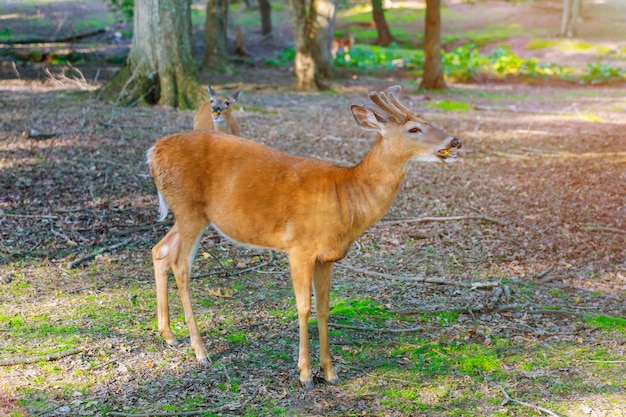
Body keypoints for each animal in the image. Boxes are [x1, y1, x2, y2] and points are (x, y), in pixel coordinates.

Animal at [145, 83, 458, 386]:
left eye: (425, 120)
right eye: (414, 129)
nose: (455, 141)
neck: (346, 197)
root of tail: (152, 152)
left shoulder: (327, 257)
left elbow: (324, 308)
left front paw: (330, 372)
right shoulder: (299, 248)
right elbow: (303, 307)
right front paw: (305, 374)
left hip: (191, 215)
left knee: (160, 250)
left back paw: (169, 335)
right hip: (189, 209)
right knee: (180, 265)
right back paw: (200, 350)